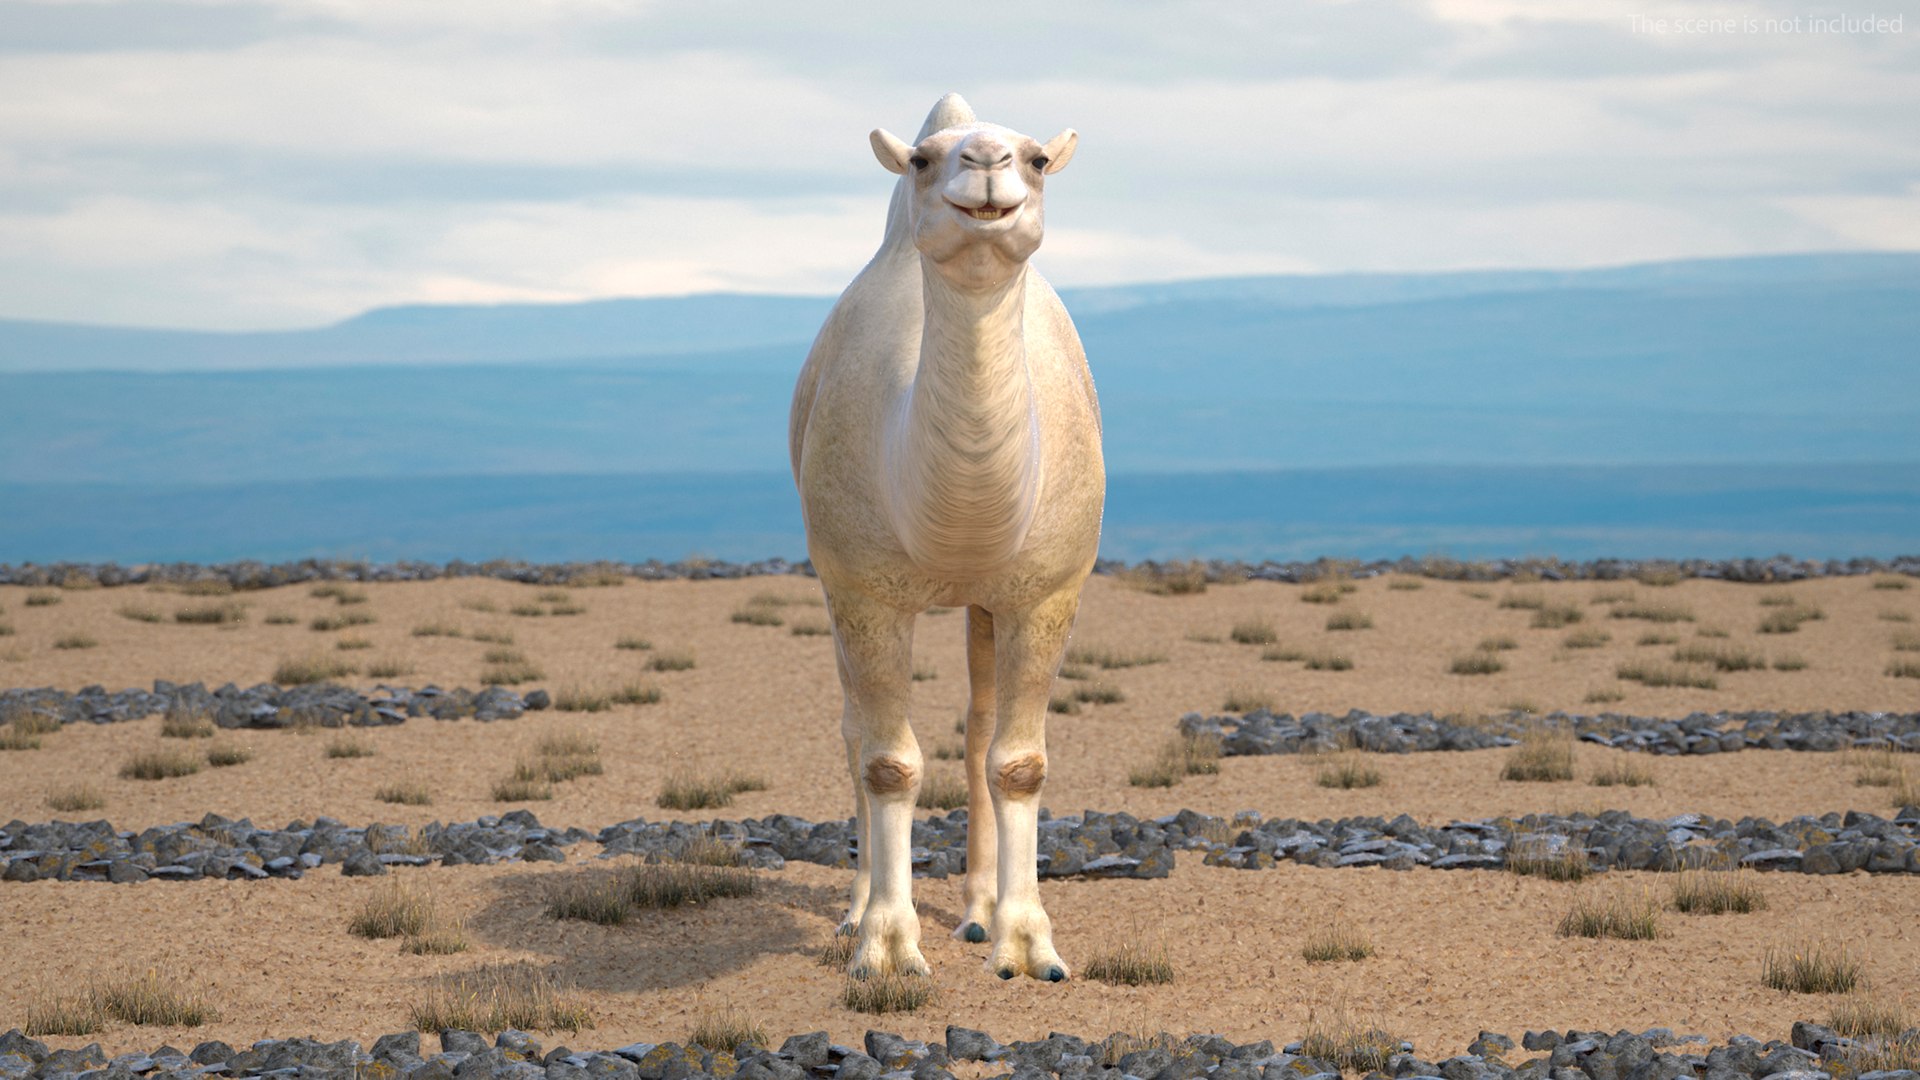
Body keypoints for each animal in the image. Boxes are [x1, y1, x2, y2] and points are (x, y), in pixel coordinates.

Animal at [787, 93, 1104, 983]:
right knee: (855, 730)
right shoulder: (863, 589)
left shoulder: (1046, 591)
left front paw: (1027, 945)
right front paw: (885, 945)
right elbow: (887, 761)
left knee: (978, 729)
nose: (988, 163)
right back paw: (857, 908)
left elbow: (1019, 761)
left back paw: (977, 911)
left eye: (1037, 158)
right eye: (924, 160)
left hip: (986, 605)